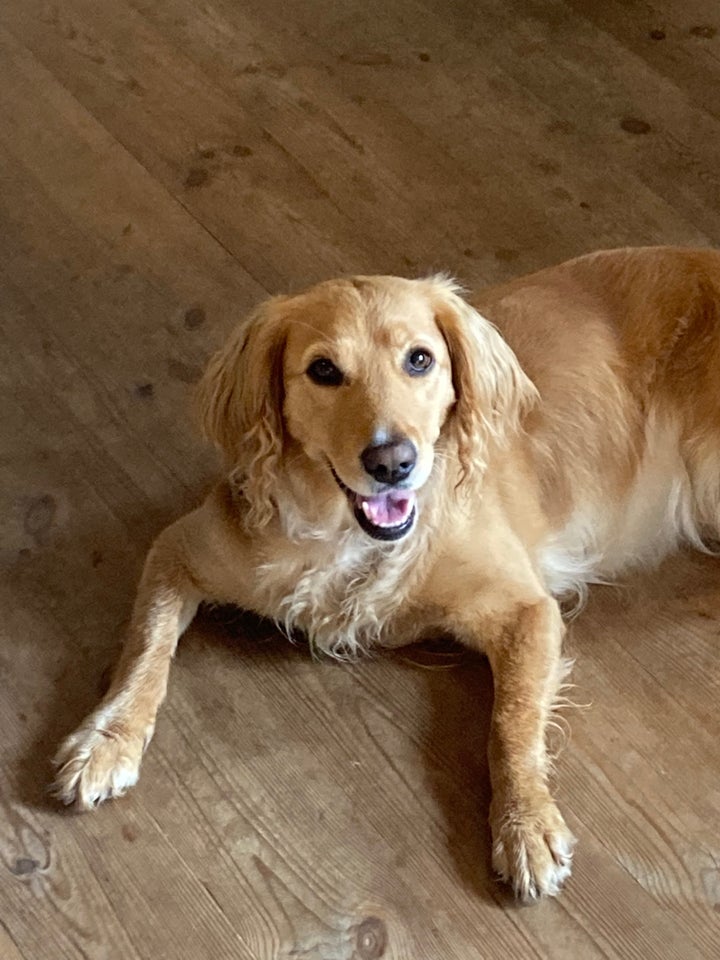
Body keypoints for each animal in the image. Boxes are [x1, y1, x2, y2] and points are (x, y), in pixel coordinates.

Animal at [53, 248, 720, 900]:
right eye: (323, 371)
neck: (348, 537)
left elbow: (510, 723)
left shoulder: (525, 608)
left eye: (420, 359)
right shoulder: (179, 548)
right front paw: (105, 740)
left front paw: (525, 824)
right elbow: (144, 652)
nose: (392, 462)